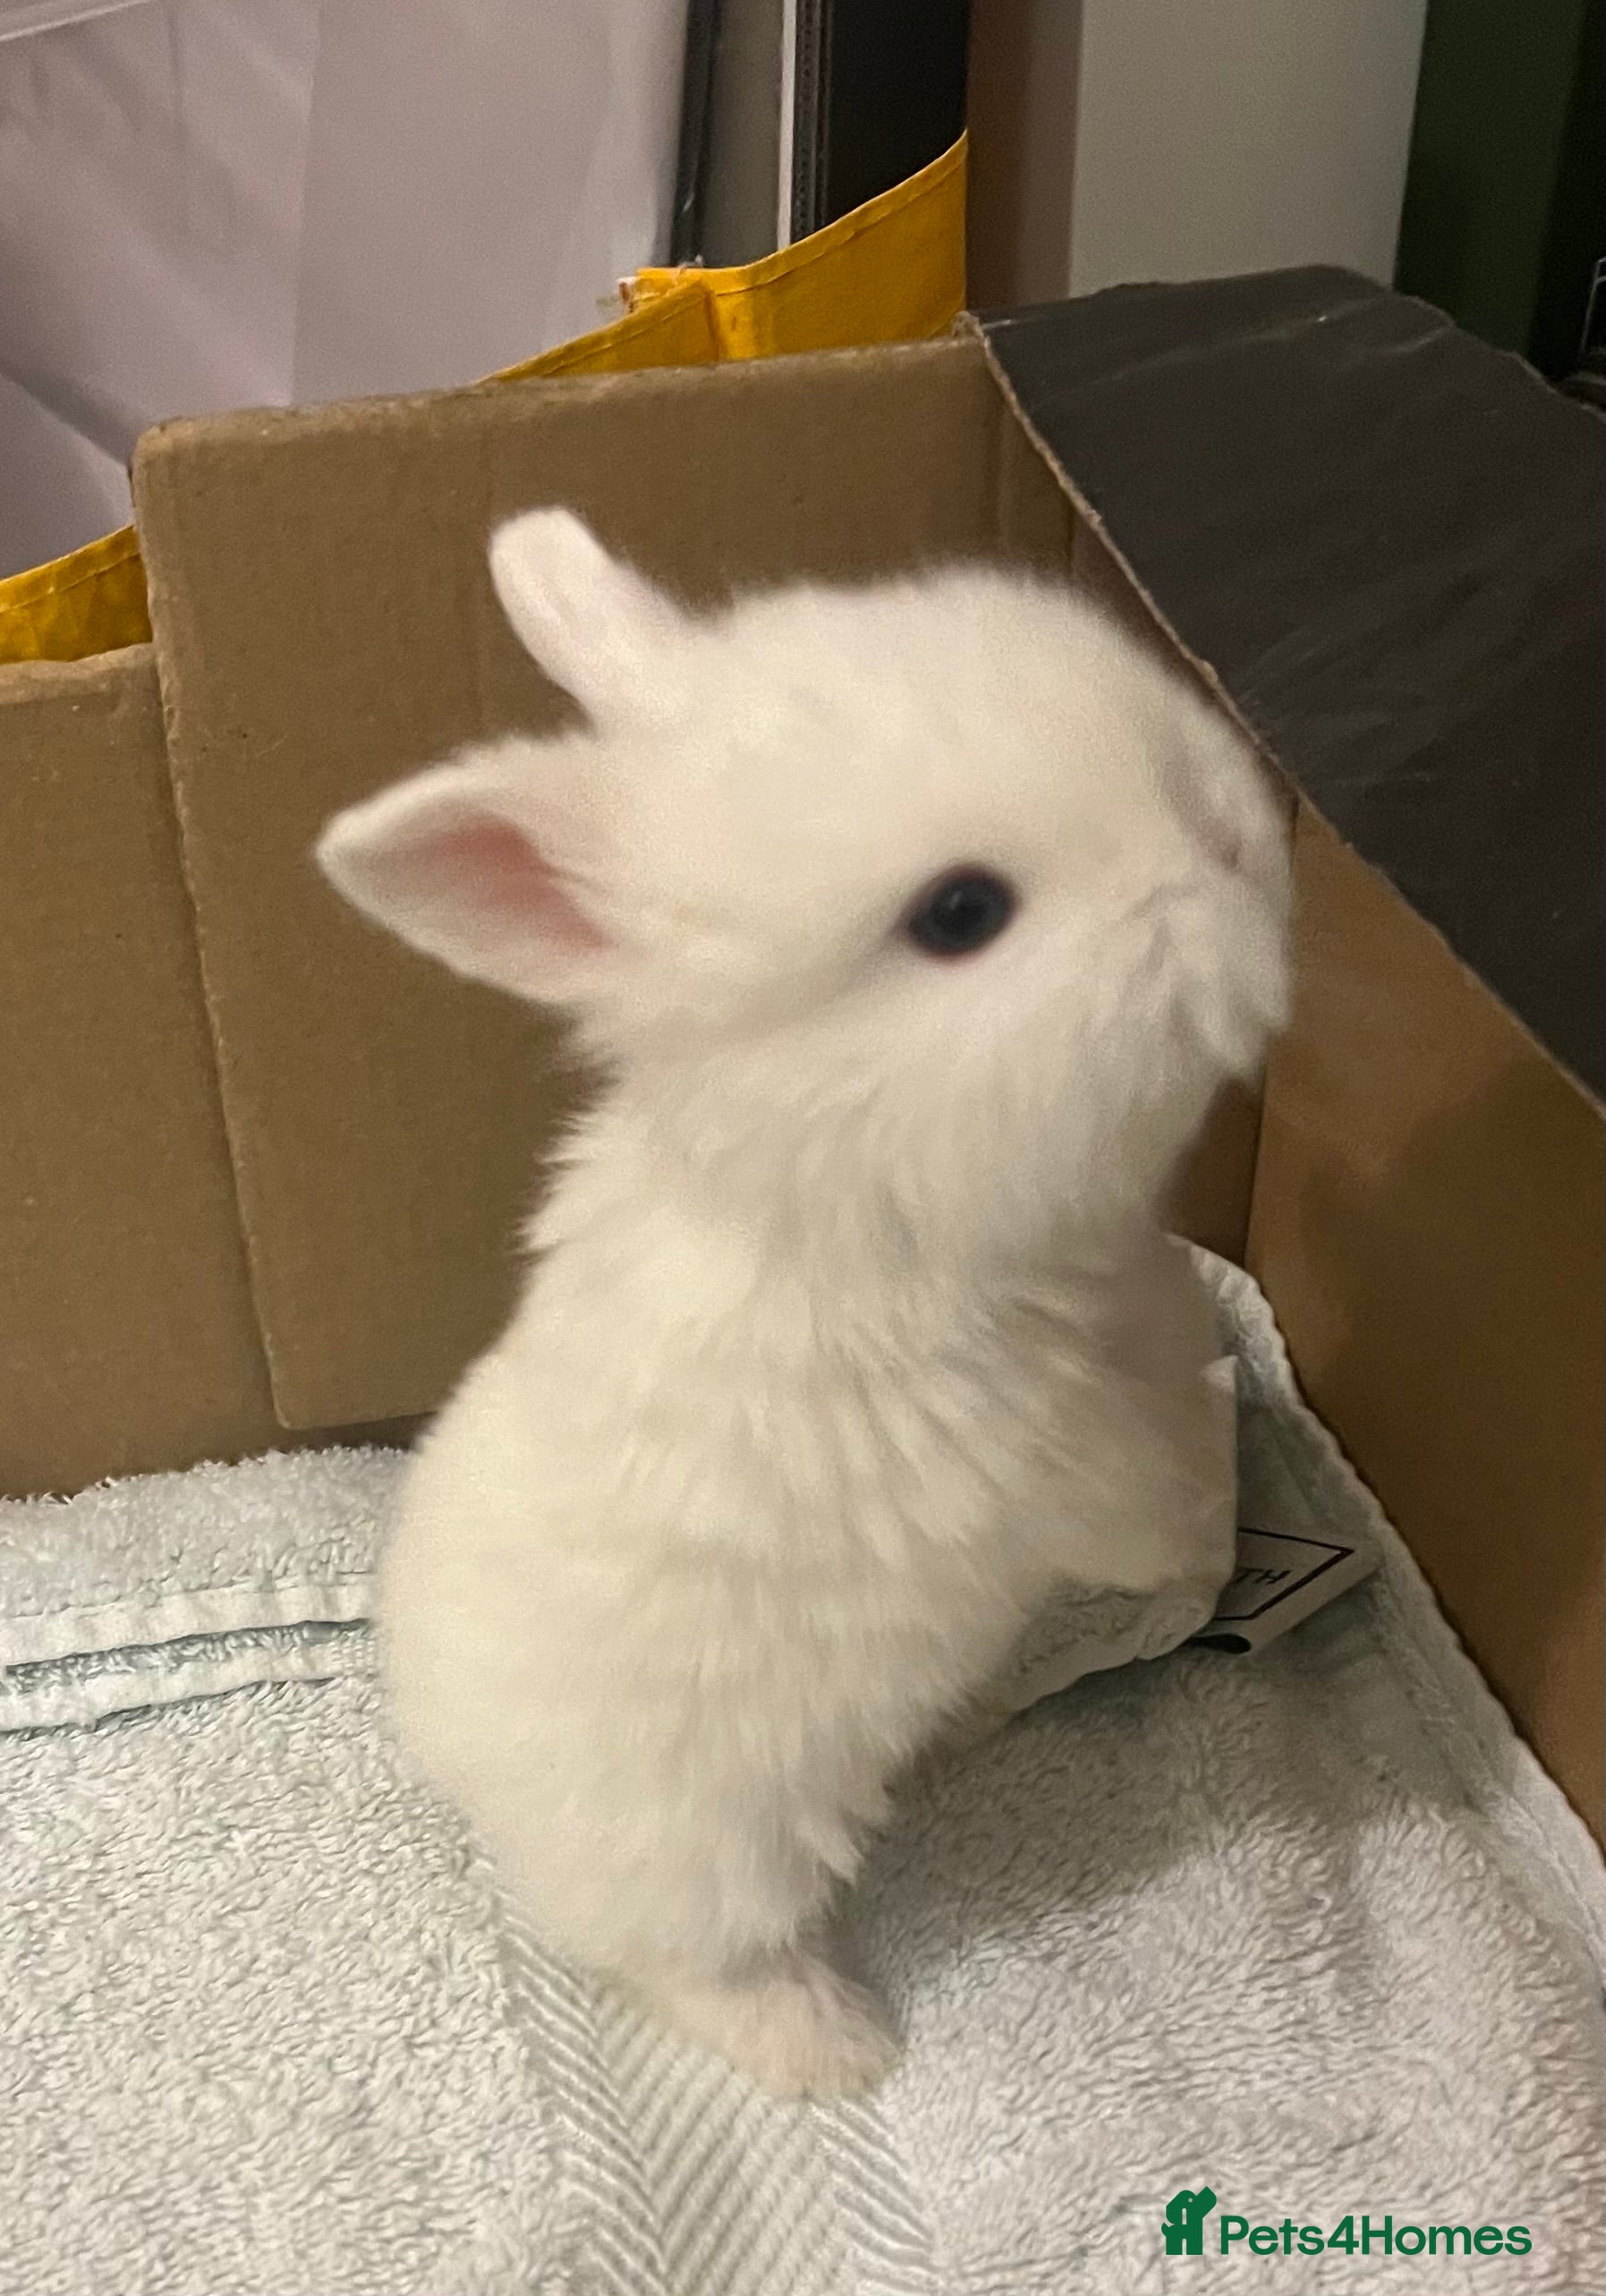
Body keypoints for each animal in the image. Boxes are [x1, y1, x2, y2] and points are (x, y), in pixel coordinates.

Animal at [316, 509, 1291, 2099]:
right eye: (960, 913)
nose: (1233, 833)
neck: (843, 1201)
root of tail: (445, 1751)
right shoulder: (1053, 1469)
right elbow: (1152, 1511)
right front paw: (1196, 1565)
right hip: (717, 1856)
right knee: (685, 1964)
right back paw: (838, 2046)